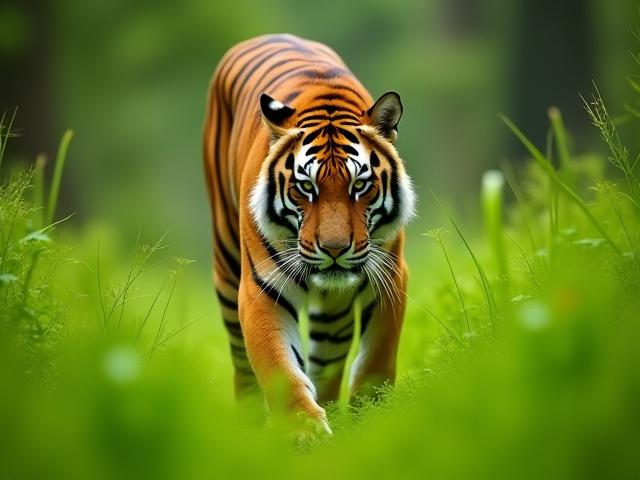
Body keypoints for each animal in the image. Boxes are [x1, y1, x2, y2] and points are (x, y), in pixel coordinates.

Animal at [203, 34, 415, 434]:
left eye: (360, 185)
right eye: (306, 187)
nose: (334, 249)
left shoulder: (390, 275)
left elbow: (376, 360)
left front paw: (371, 423)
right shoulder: (260, 288)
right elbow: (281, 372)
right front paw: (305, 433)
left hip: (332, 319)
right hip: (226, 265)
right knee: (242, 365)